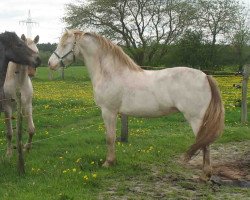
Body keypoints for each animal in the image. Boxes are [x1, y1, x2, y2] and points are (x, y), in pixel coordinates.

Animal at [47, 29, 224, 178]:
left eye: (64, 44)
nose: (50, 63)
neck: (111, 73)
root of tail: (205, 76)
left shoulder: (108, 111)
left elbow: (110, 138)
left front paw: (108, 163)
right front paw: (112, 161)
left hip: (196, 119)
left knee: (205, 143)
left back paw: (205, 175)